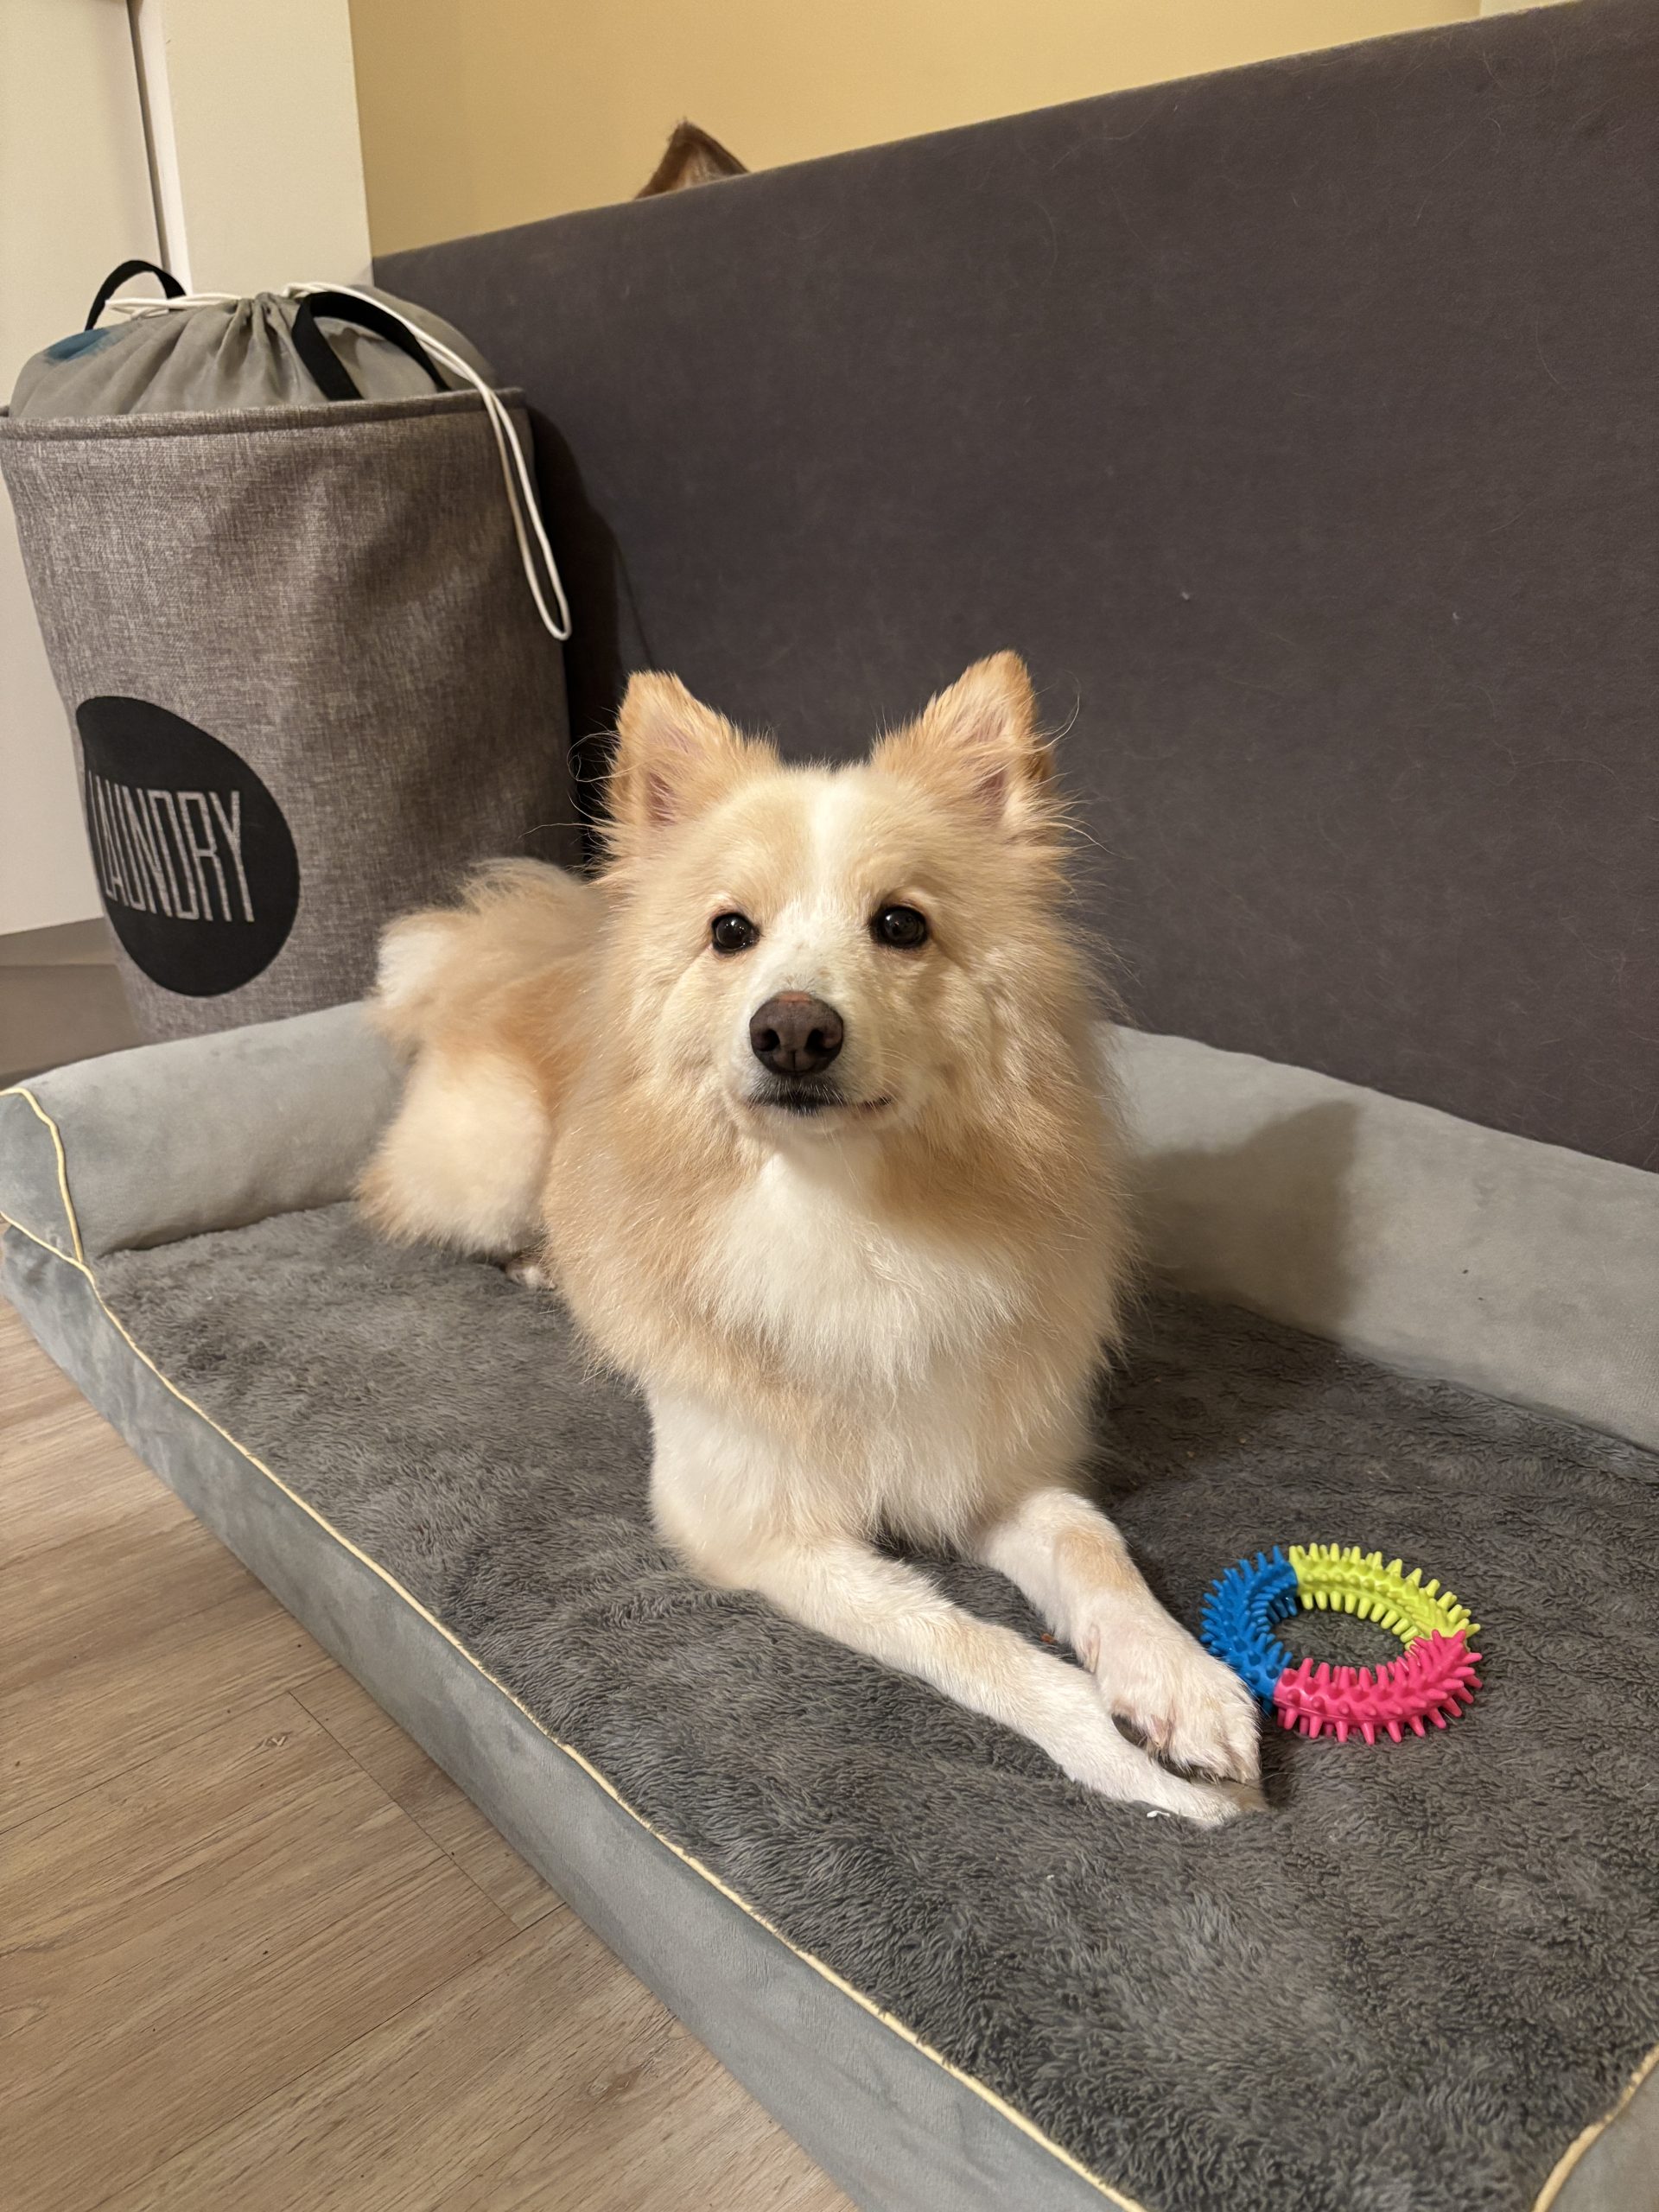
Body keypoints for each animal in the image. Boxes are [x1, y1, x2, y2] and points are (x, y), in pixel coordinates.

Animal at [360, 654, 1259, 1822]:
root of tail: (523, 947)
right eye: (730, 931)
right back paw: (538, 1262)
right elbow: (969, 1644)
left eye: (902, 925)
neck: (844, 1217)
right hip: (498, 1159)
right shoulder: (761, 1528)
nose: (792, 1029)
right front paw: (1122, 1758)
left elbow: (1096, 1548)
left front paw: (1180, 1683)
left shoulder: (985, 1463)